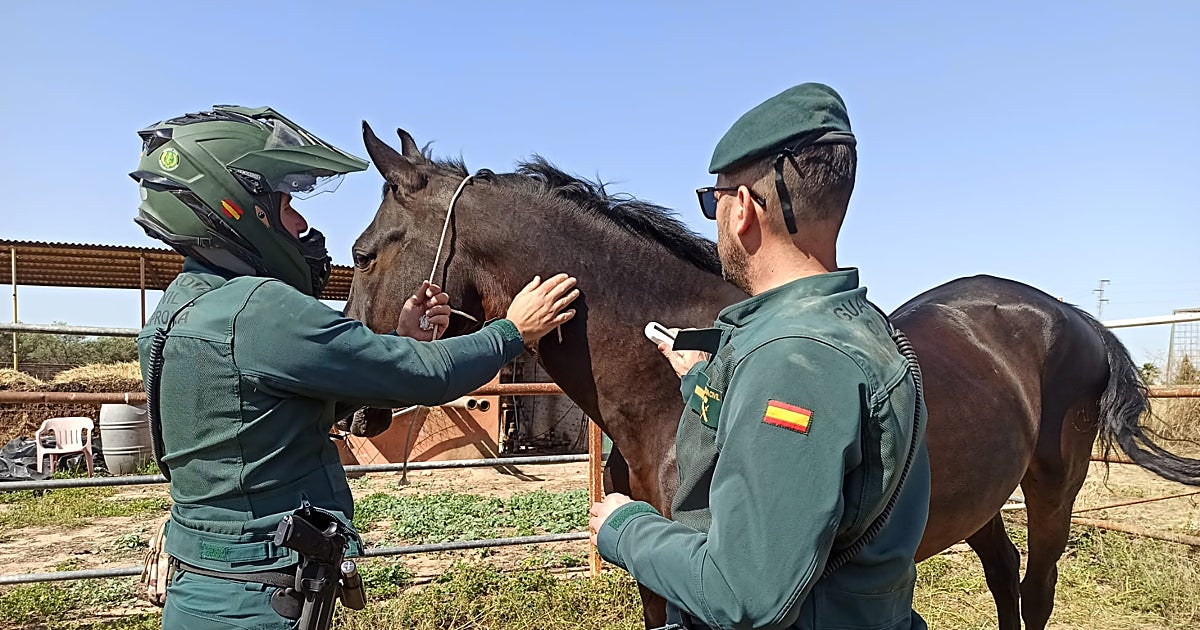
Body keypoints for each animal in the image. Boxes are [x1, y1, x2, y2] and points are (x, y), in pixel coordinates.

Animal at [345, 123, 1200, 630]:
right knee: (1003, 573)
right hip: (978, 497)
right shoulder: (656, 579)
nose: (353, 412)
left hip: (1054, 491)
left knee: (1037, 586)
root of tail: (1068, 314)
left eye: (363, 253)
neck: (669, 390)